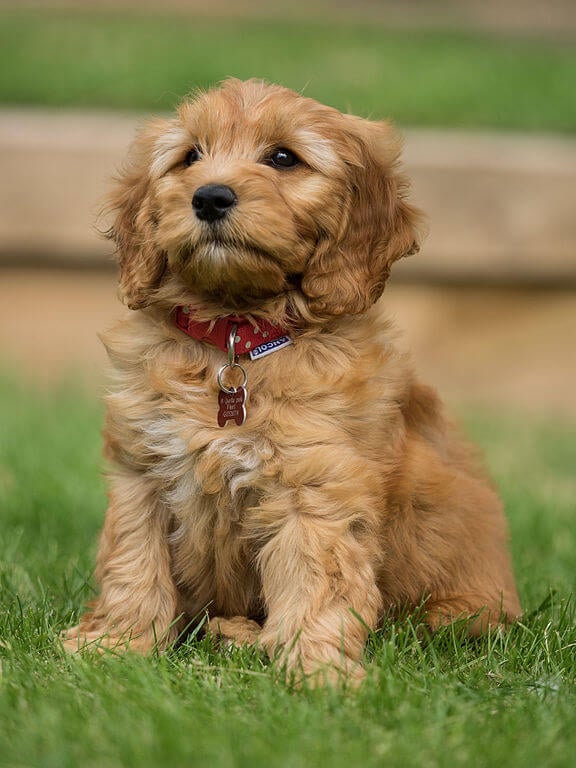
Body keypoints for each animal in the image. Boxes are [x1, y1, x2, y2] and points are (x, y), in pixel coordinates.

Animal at [63, 79, 520, 684]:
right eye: (190, 157)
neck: (236, 337)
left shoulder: (316, 487)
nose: (209, 197)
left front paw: (318, 673)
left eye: (283, 158)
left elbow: (317, 582)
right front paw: (115, 644)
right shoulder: (143, 471)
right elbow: (133, 563)